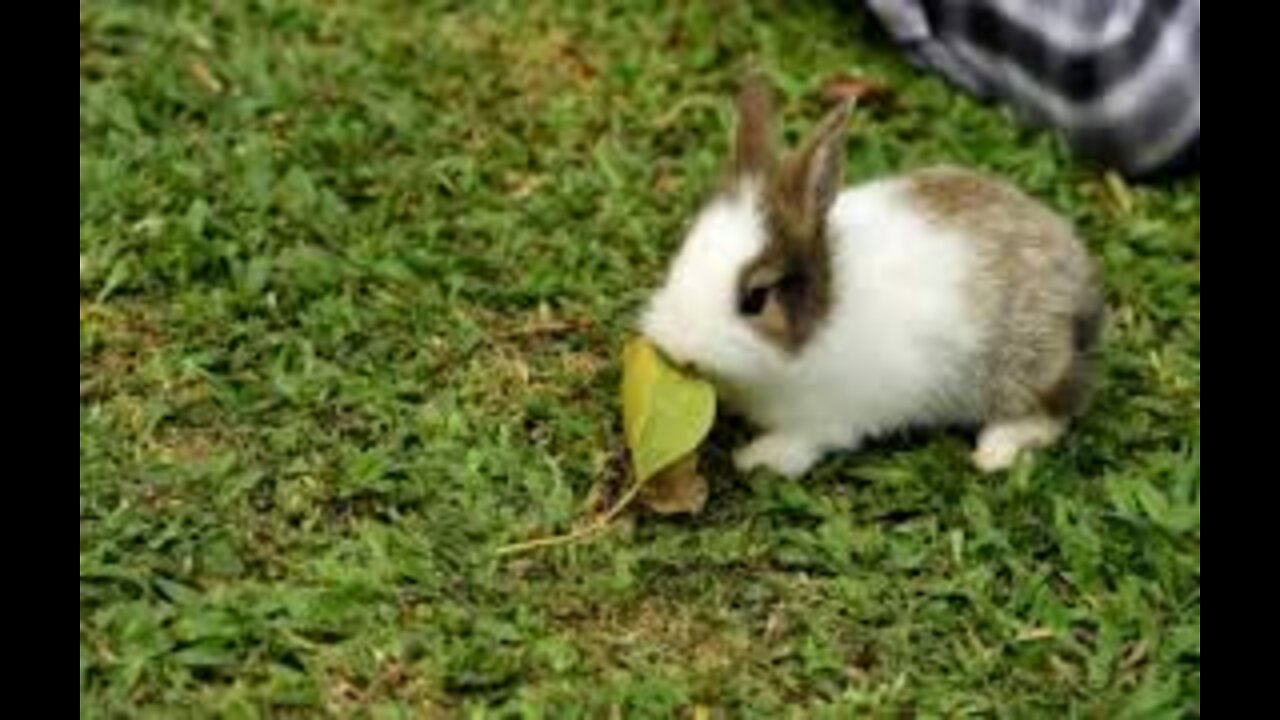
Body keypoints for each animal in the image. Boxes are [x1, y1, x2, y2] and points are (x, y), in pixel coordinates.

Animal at [645, 75, 1105, 476]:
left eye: (755, 299)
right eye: (683, 251)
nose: (675, 349)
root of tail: (1082, 288)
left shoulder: (826, 417)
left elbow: (801, 444)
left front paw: (755, 458)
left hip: (1026, 369)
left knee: (1054, 412)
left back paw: (994, 450)